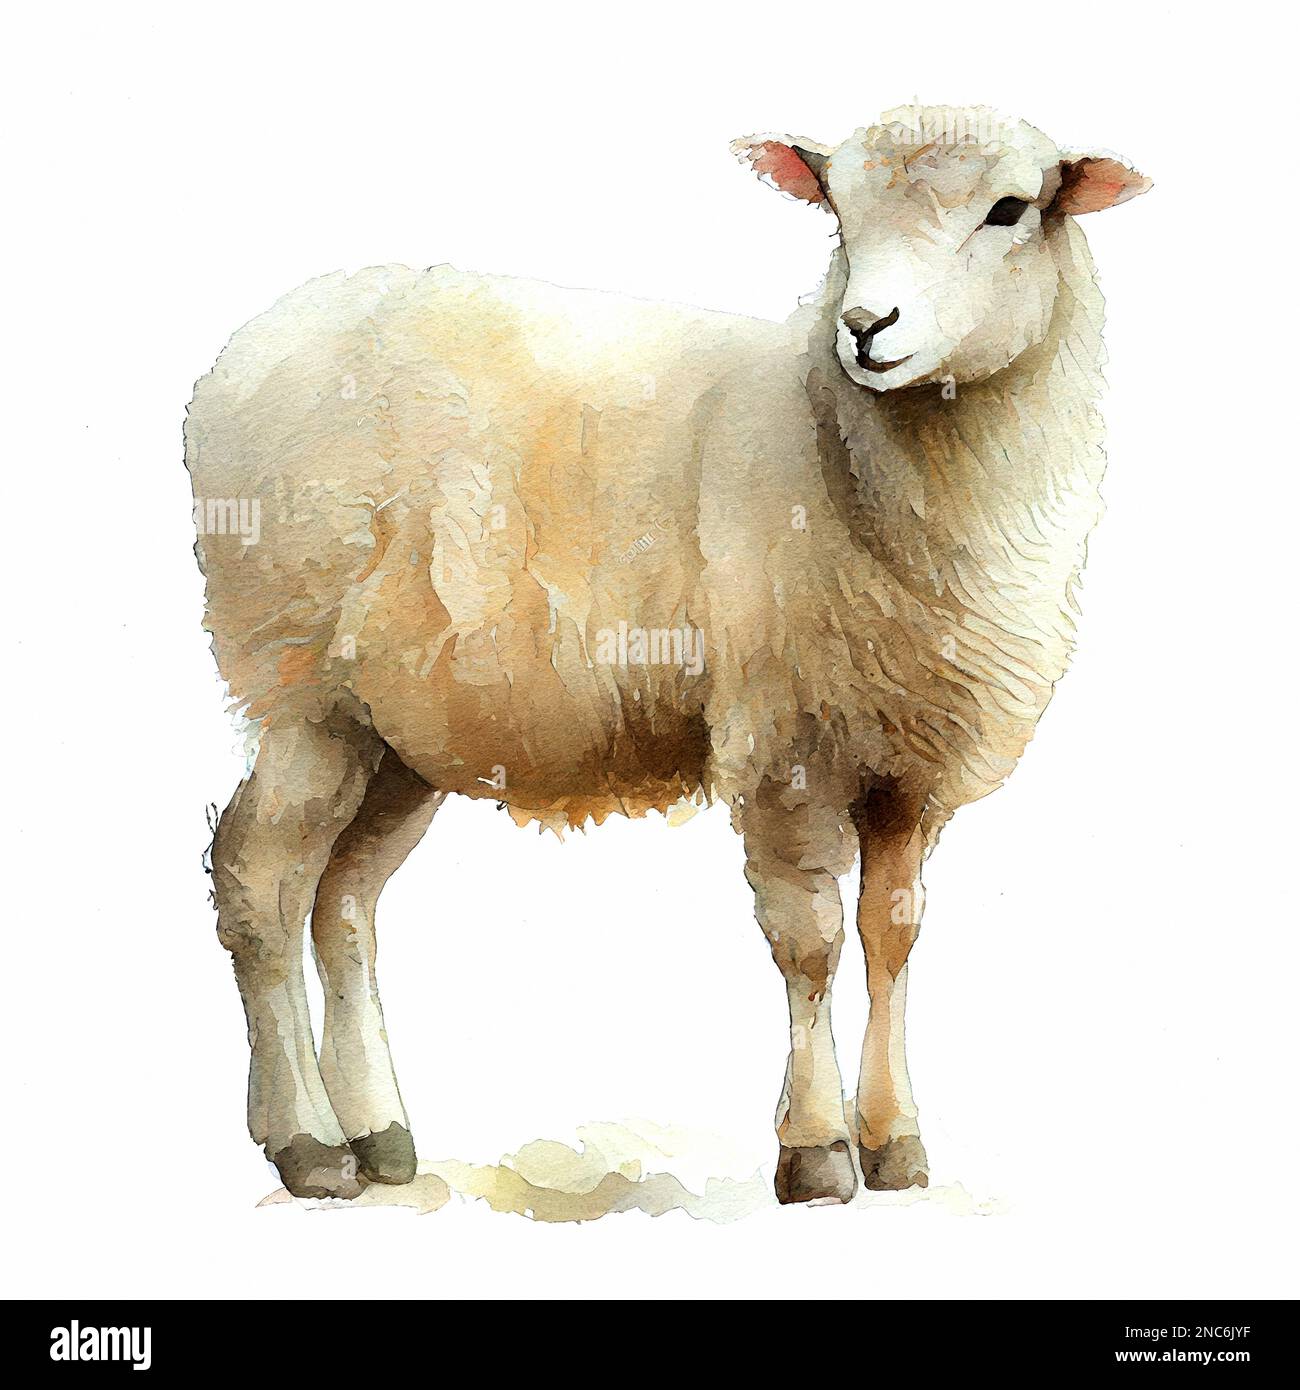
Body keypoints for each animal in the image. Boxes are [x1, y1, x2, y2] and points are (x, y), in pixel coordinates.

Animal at [186, 104, 1150, 1204]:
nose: (866, 327)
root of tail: (243, 352)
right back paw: (307, 1145)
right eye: (838, 207)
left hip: (396, 725)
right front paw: (816, 1152)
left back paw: (380, 1134)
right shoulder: (783, 741)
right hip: (298, 681)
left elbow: (893, 936)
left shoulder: (911, 758)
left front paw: (897, 1144)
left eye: (1009, 209)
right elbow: (811, 942)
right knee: (257, 876)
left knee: (341, 898)